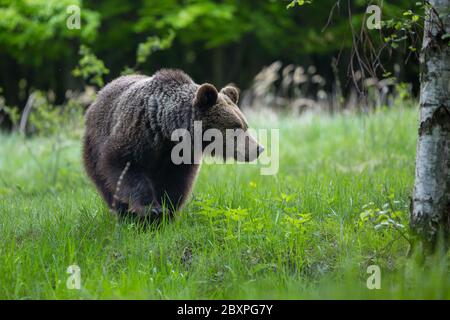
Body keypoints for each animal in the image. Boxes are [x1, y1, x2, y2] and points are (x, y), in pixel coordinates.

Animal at [83, 68, 264, 221]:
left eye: (245, 125)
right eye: (236, 127)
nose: (258, 148)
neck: (166, 131)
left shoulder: (180, 156)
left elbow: (176, 182)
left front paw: (167, 210)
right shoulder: (138, 134)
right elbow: (125, 166)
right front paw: (151, 209)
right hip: (94, 145)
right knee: (106, 183)